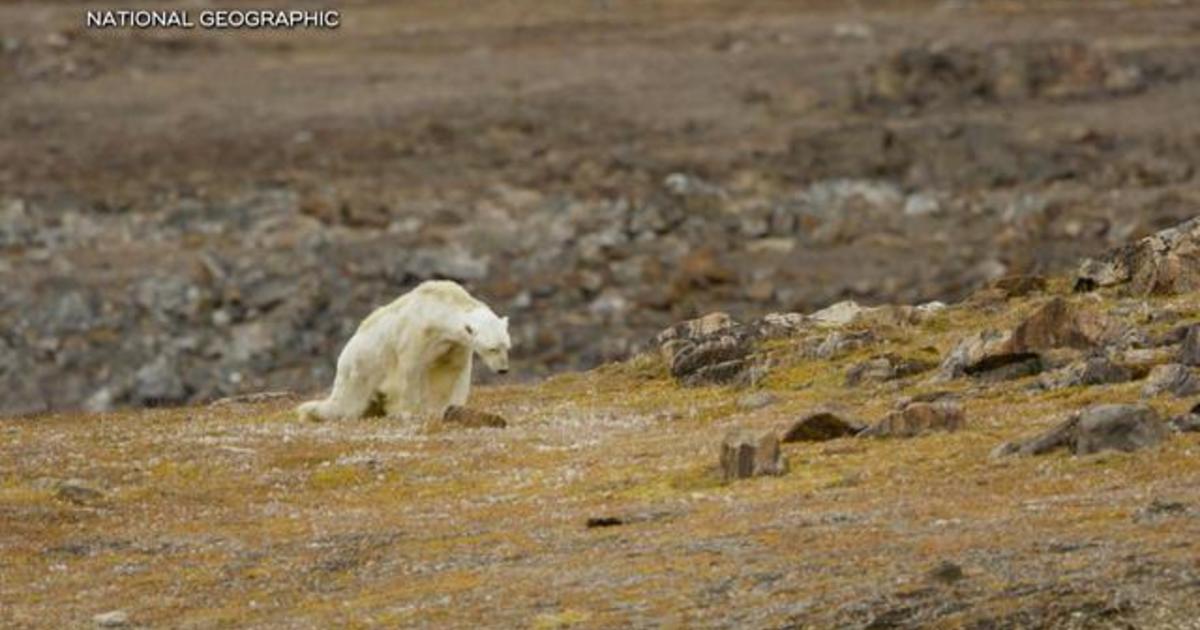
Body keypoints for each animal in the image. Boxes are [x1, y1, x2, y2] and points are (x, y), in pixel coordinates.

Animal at [298, 280, 511, 422]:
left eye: (506, 347)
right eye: (492, 348)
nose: (503, 370)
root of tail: (342, 358)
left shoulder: (454, 344)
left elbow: (451, 371)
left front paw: (449, 408)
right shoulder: (416, 335)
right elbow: (410, 370)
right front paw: (409, 412)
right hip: (361, 368)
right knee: (346, 404)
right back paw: (310, 411)